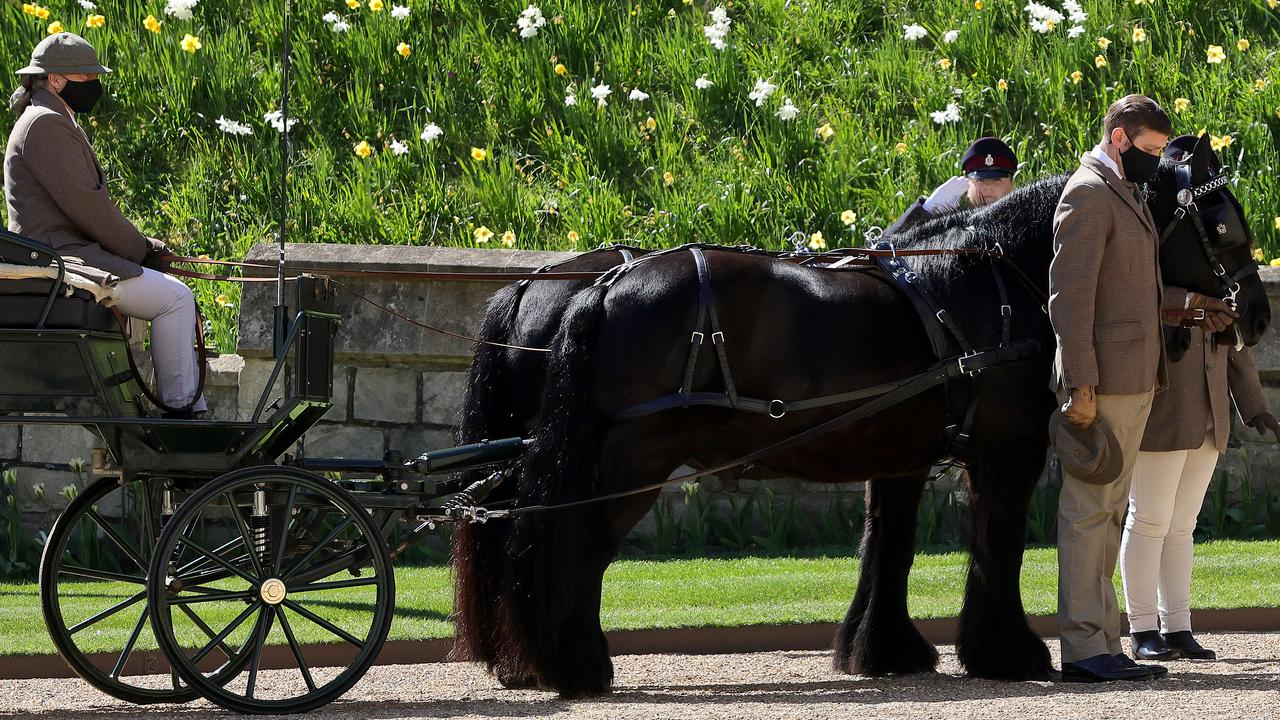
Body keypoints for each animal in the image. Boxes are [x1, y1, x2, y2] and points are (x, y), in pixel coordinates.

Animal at [455, 135, 1264, 696]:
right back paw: (574, 665)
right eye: (1223, 224)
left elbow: (888, 547)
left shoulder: (898, 453)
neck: (989, 279)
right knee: (575, 546)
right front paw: (1008, 652)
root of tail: (597, 286)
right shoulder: (1005, 453)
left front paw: (885, 650)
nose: (1255, 312)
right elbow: (996, 545)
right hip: (631, 460)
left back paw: (527, 661)